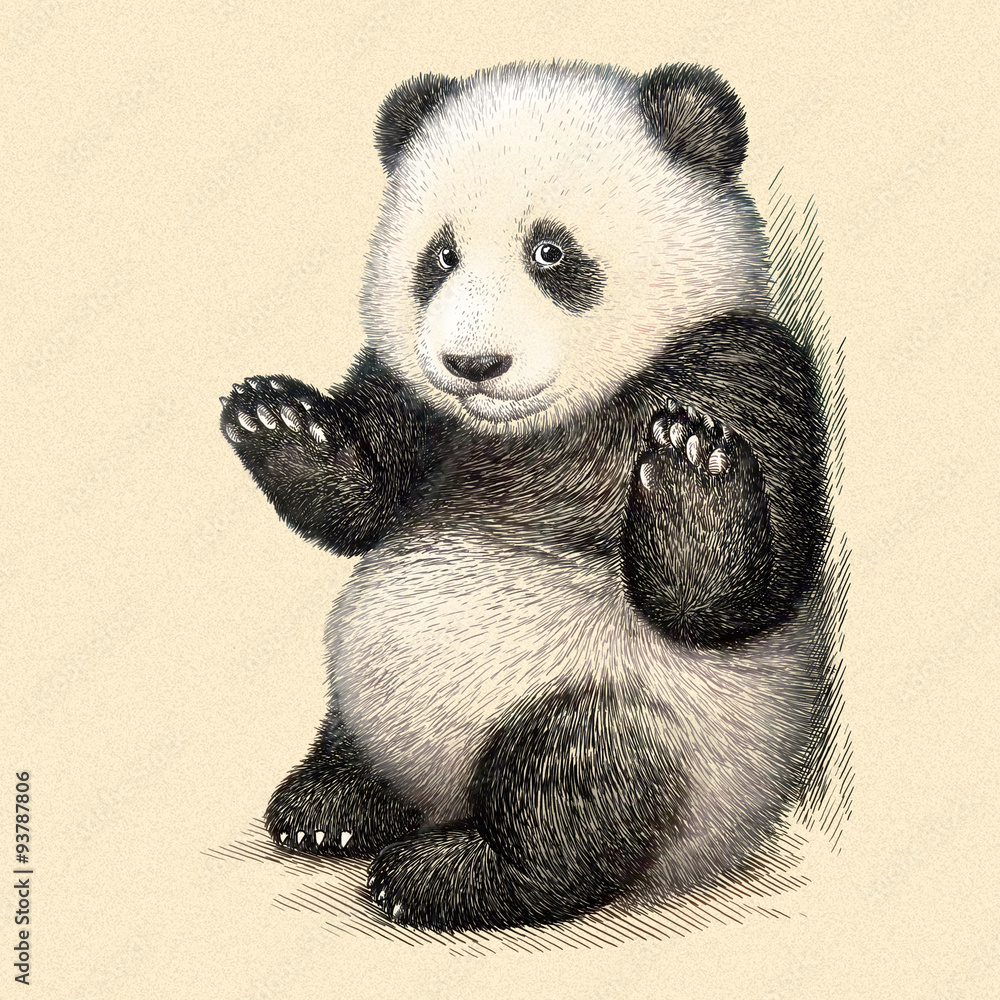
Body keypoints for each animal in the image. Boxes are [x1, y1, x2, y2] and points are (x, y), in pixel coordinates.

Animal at [219, 60, 833, 932]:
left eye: (549, 251)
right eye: (440, 256)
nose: (474, 364)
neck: (538, 429)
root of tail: (444, 794)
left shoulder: (739, 364)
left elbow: (738, 598)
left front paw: (693, 470)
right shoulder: (424, 405)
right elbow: (363, 502)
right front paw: (277, 419)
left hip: (652, 714)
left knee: (576, 784)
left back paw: (445, 872)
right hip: (366, 691)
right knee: (358, 731)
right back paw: (332, 803)